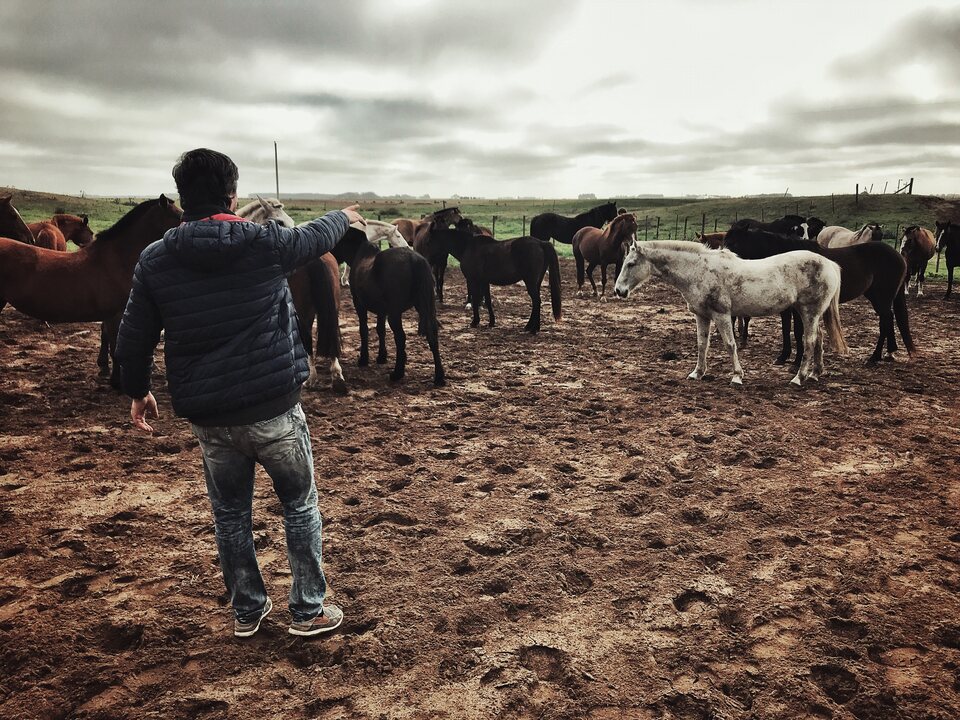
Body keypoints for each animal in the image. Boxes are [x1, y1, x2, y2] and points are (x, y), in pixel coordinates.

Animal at [434, 229, 564, 334]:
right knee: (535, 302)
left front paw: (475, 322)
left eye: (431, 240)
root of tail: (540, 243)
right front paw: (491, 322)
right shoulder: (484, 282)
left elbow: (475, 300)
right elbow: (488, 301)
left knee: (537, 301)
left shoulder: (473, 281)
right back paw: (529, 326)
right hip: (536, 282)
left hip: (530, 282)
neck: (468, 247)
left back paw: (534, 329)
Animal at [616, 240, 848, 388]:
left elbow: (730, 344)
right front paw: (697, 373)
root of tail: (829, 264)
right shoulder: (702, 316)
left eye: (631, 263)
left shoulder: (722, 315)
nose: (619, 291)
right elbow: (702, 344)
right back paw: (815, 374)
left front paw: (737, 376)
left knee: (809, 341)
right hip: (809, 313)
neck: (698, 271)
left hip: (809, 312)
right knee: (818, 339)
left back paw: (799, 378)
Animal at [724, 226, 912, 362]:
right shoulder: (787, 308)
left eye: (734, 244)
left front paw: (797, 361)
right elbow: (786, 329)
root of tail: (899, 256)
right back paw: (889, 353)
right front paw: (783, 357)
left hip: (882, 297)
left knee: (885, 321)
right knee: (888, 319)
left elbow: (798, 331)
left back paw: (874, 356)